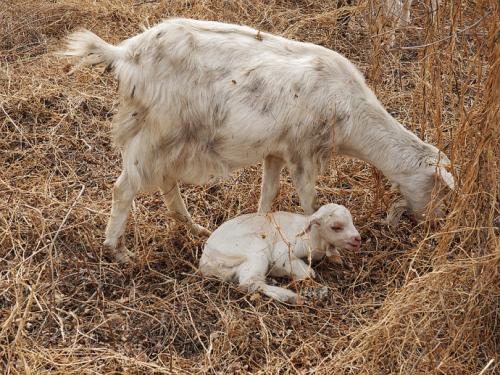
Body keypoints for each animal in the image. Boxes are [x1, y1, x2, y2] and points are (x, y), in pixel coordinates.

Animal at [63, 19, 454, 262]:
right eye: (436, 187)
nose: (435, 223)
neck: (350, 112)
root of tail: (125, 54)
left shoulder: (276, 151)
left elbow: (269, 194)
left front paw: (261, 227)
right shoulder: (302, 152)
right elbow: (310, 202)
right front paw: (324, 245)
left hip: (172, 137)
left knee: (166, 180)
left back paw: (192, 226)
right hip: (157, 130)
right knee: (125, 187)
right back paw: (117, 250)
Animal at [199, 204, 360, 304]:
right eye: (336, 227)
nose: (357, 239)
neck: (313, 237)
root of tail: (206, 262)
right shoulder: (282, 252)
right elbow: (307, 273)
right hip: (255, 249)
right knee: (249, 282)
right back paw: (291, 297)